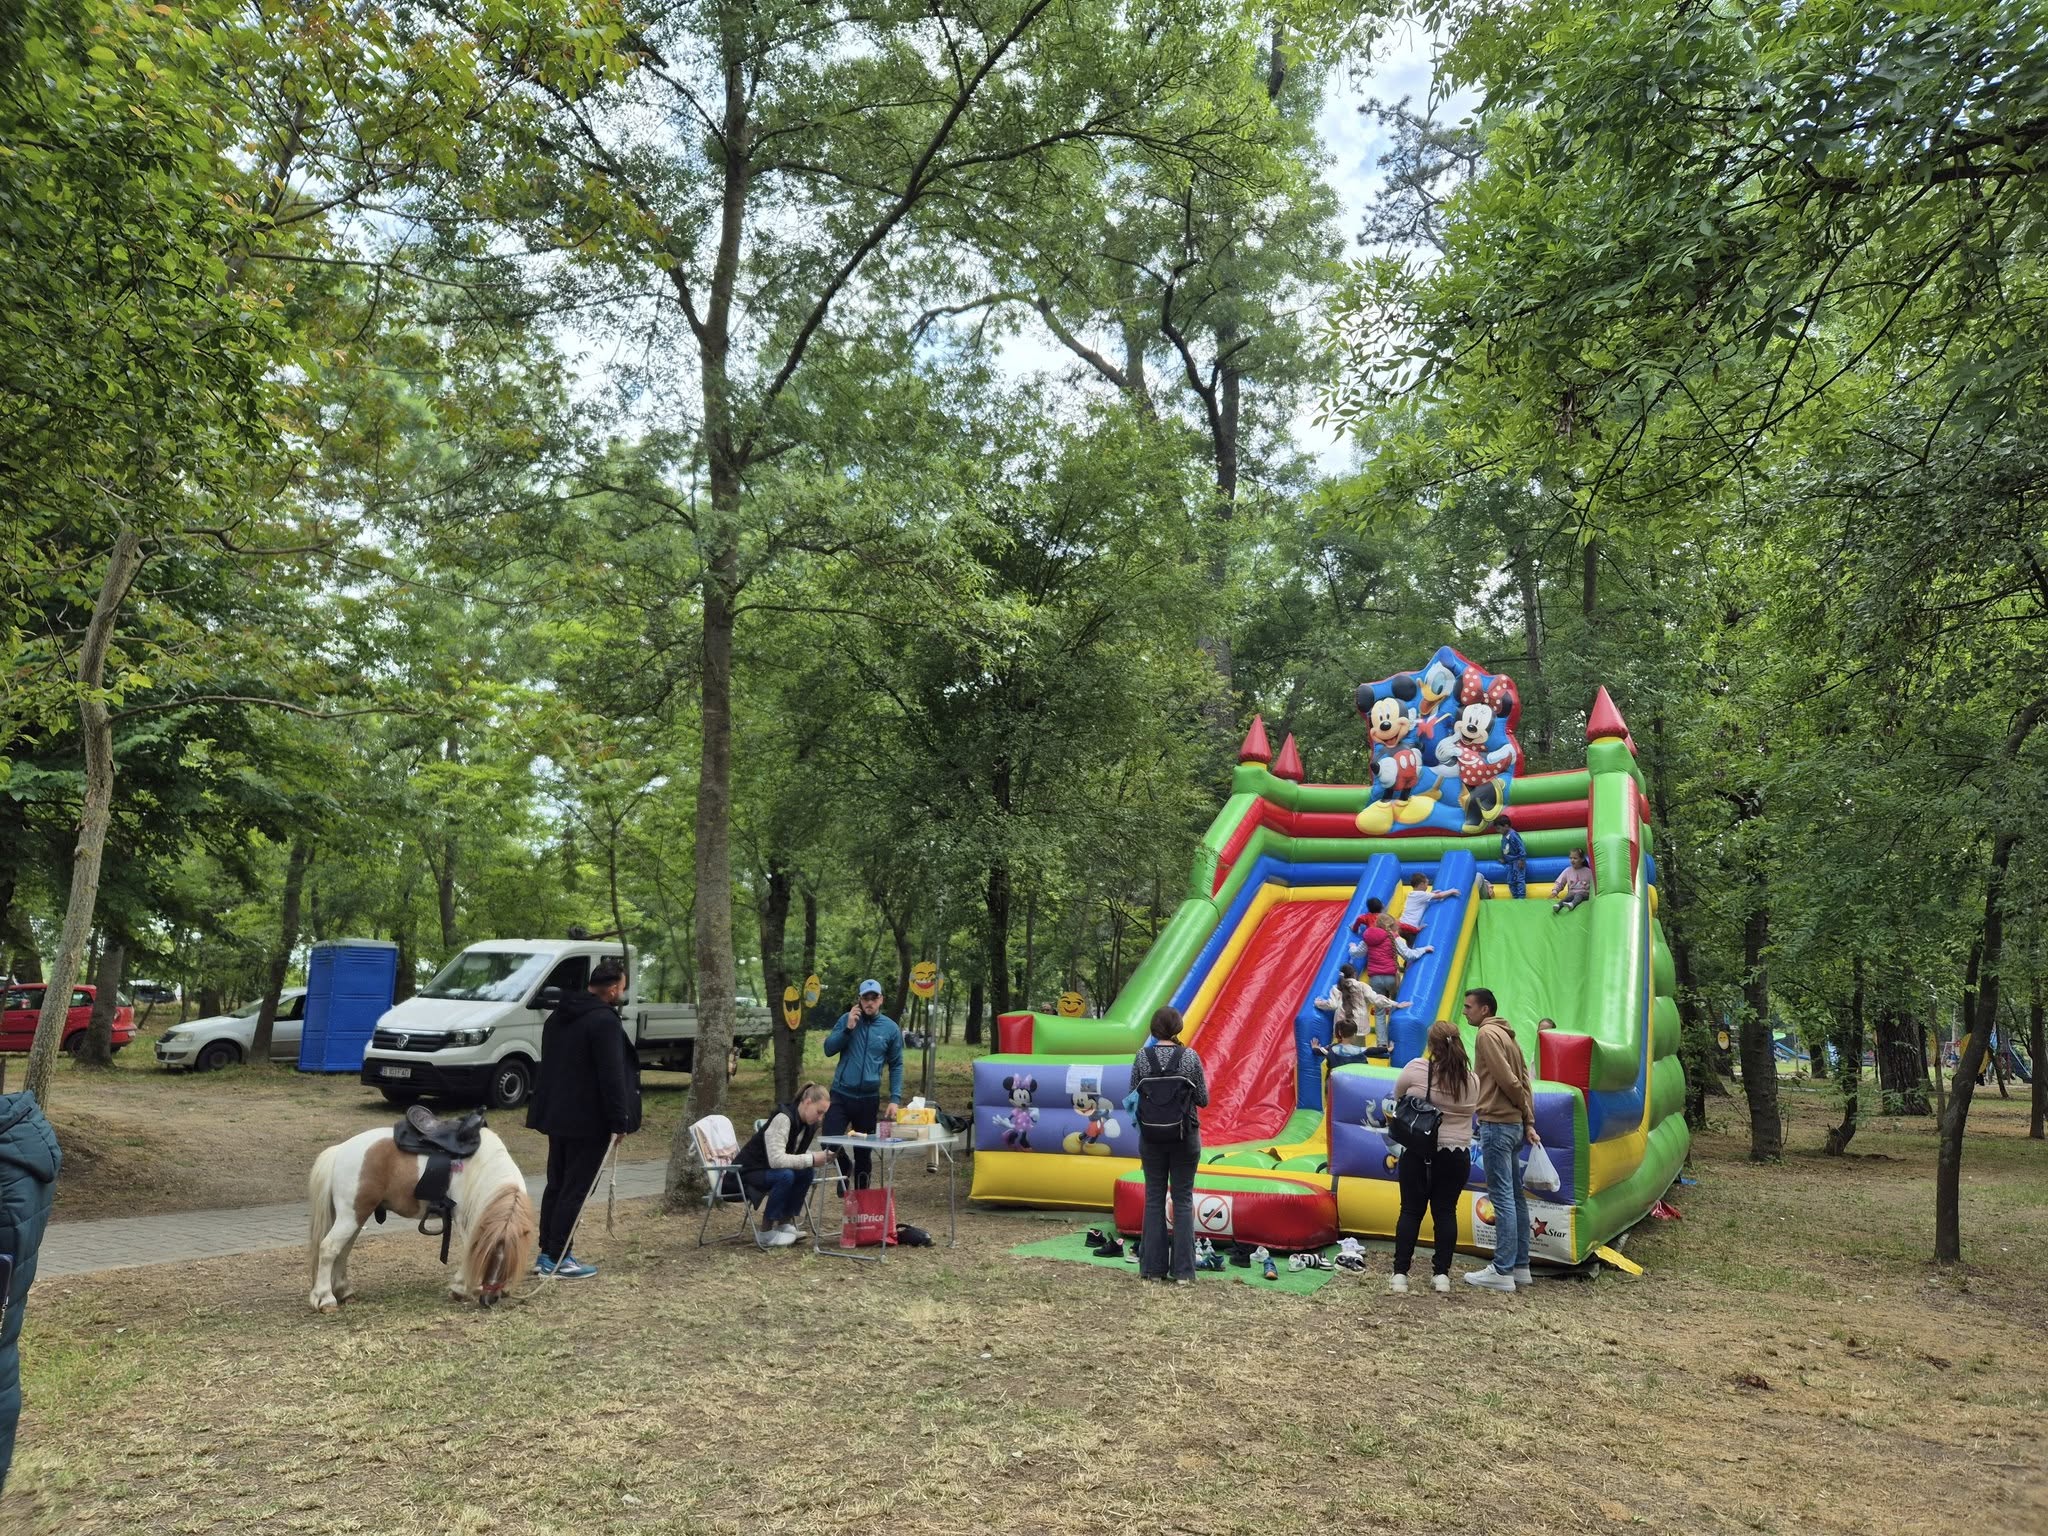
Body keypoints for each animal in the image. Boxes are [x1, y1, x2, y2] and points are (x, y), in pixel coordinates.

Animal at [307, 1124, 537, 1312]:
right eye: (493, 1257)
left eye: (511, 1261)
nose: (490, 1299)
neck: (484, 1168)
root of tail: (340, 1151)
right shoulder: (464, 1217)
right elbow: (468, 1249)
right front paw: (460, 1289)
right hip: (351, 1215)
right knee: (329, 1249)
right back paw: (325, 1299)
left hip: (356, 1216)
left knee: (342, 1251)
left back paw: (344, 1292)